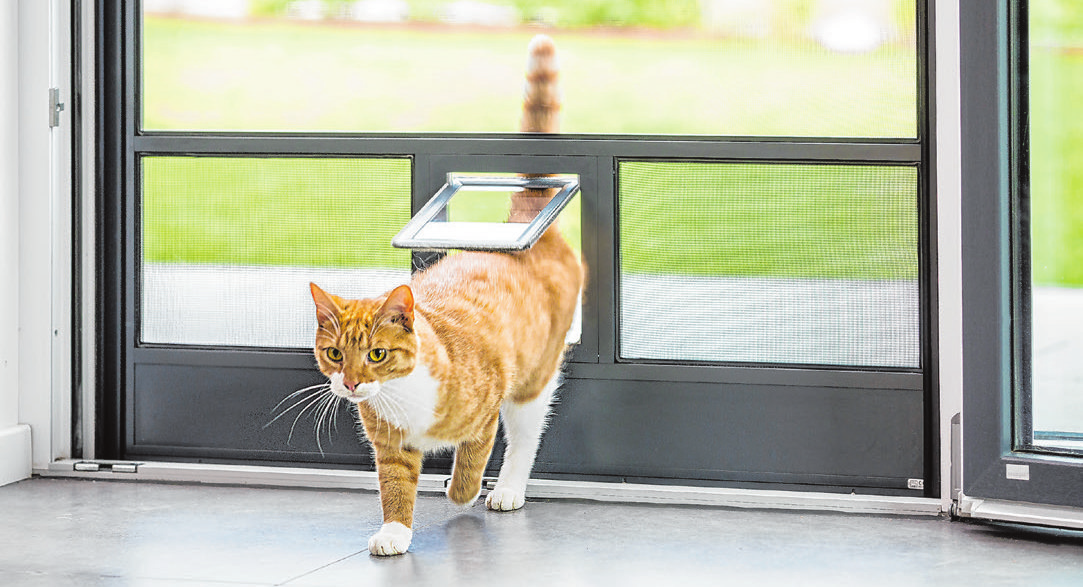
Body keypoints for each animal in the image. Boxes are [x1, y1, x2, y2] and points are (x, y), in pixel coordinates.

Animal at [305, 34, 584, 558]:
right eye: (334, 354)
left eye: (377, 354)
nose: (350, 384)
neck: (404, 396)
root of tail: (520, 224)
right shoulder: (390, 449)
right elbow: (394, 489)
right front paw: (395, 532)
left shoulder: (488, 403)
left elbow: (474, 454)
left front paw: (462, 491)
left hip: (533, 381)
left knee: (525, 436)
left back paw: (508, 489)